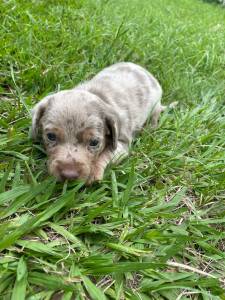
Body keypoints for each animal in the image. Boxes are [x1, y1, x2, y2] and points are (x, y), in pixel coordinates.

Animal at [31, 62, 172, 184]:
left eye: (94, 142)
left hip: (155, 105)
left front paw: (94, 171)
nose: (69, 175)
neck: (99, 96)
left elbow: (107, 153)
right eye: (51, 136)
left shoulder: (122, 143)